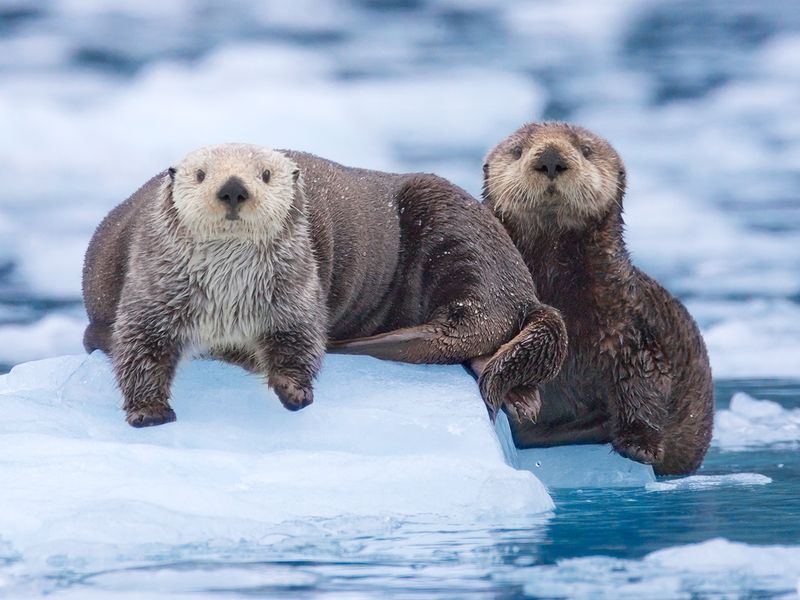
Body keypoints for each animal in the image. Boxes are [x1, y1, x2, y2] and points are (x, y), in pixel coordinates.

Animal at [83, 143, 567, 428]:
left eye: (266, 174)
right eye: (199, 175)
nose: (233, 188)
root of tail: (525, 289)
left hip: (458, 232)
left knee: (473, 320)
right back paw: (521, 398)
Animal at [482, 122, 713, 475]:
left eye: (586, 149)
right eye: (518, 150)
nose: (551, 158)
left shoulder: (627, 327)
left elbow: (644, 381)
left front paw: (639, 443)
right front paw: (518, 399)